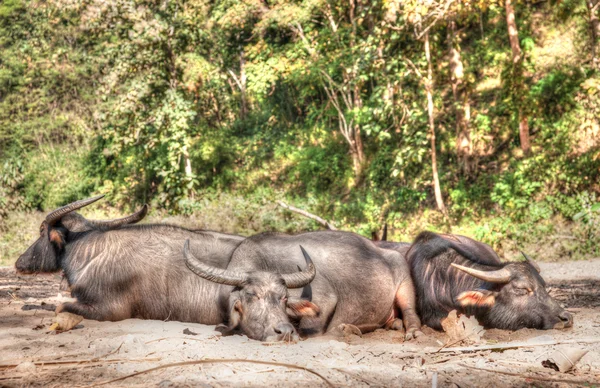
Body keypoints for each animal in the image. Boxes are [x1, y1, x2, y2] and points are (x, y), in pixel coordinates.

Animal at [185, 230, 424, 340]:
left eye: (284, 297)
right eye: (253, 295)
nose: (284, 331)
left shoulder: (324, 297)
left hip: (404, 281)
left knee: (411, 311)